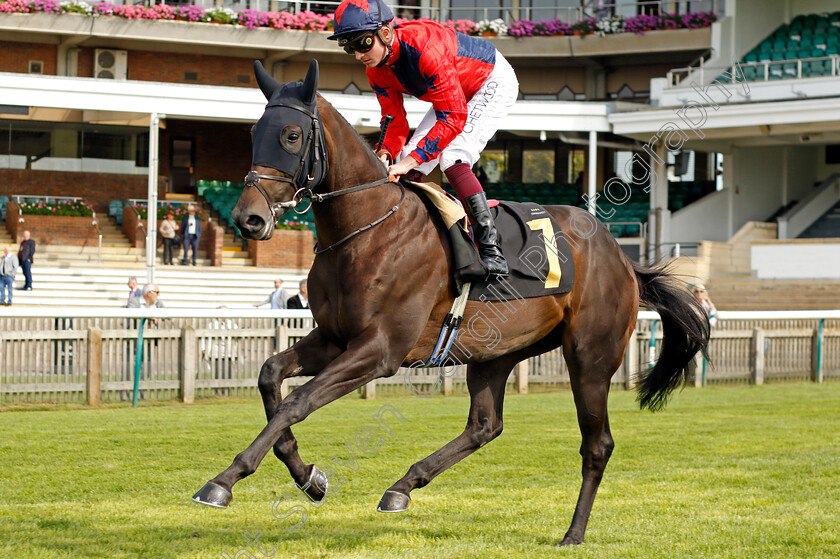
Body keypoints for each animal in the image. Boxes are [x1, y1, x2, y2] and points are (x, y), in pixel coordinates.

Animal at [194, 61, 712, 548]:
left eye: (292, 135)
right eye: (253, 133)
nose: (248, 218)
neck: (365, 230)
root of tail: (624, 260)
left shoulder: (379, 350)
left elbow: (298, 401)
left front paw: (224, 480)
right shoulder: (334, 338)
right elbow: (270, 377)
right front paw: (309, 477)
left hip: (590, 357)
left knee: (597, 444)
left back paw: (573, 532)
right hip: (496, 353)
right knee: (485, 425)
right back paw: (402, 487)